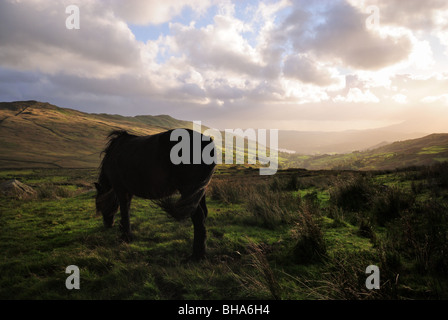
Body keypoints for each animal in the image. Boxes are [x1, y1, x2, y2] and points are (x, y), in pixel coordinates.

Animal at [96, 128, 217, 260]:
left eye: (99, 204)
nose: (107, 224)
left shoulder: (120, 189)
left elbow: (124, 210)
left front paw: (126, 236)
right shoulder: (128, 191)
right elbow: (126, 209)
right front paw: (124, 230)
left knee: (198, 217)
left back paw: (196, 255)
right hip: (199, 191)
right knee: (203, 214)